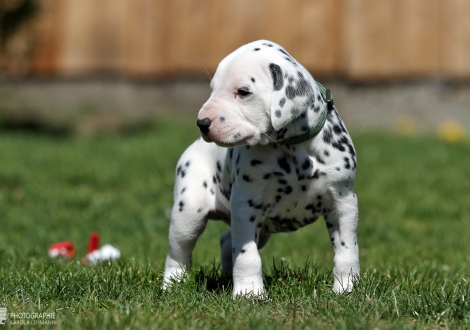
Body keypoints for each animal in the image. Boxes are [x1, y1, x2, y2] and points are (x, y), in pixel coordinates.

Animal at [162, 40, 360, 298]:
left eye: (243, 92)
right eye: (213, 88)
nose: (202, 123)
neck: (290, 148)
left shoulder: (343, 202)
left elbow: (346, 251)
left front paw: (347, 288)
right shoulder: (245, 205)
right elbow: (247, 255)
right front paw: (250, 293)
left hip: (259, 228)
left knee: (226, 240)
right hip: (188, 215)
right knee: (178, 252)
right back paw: (172, 284)